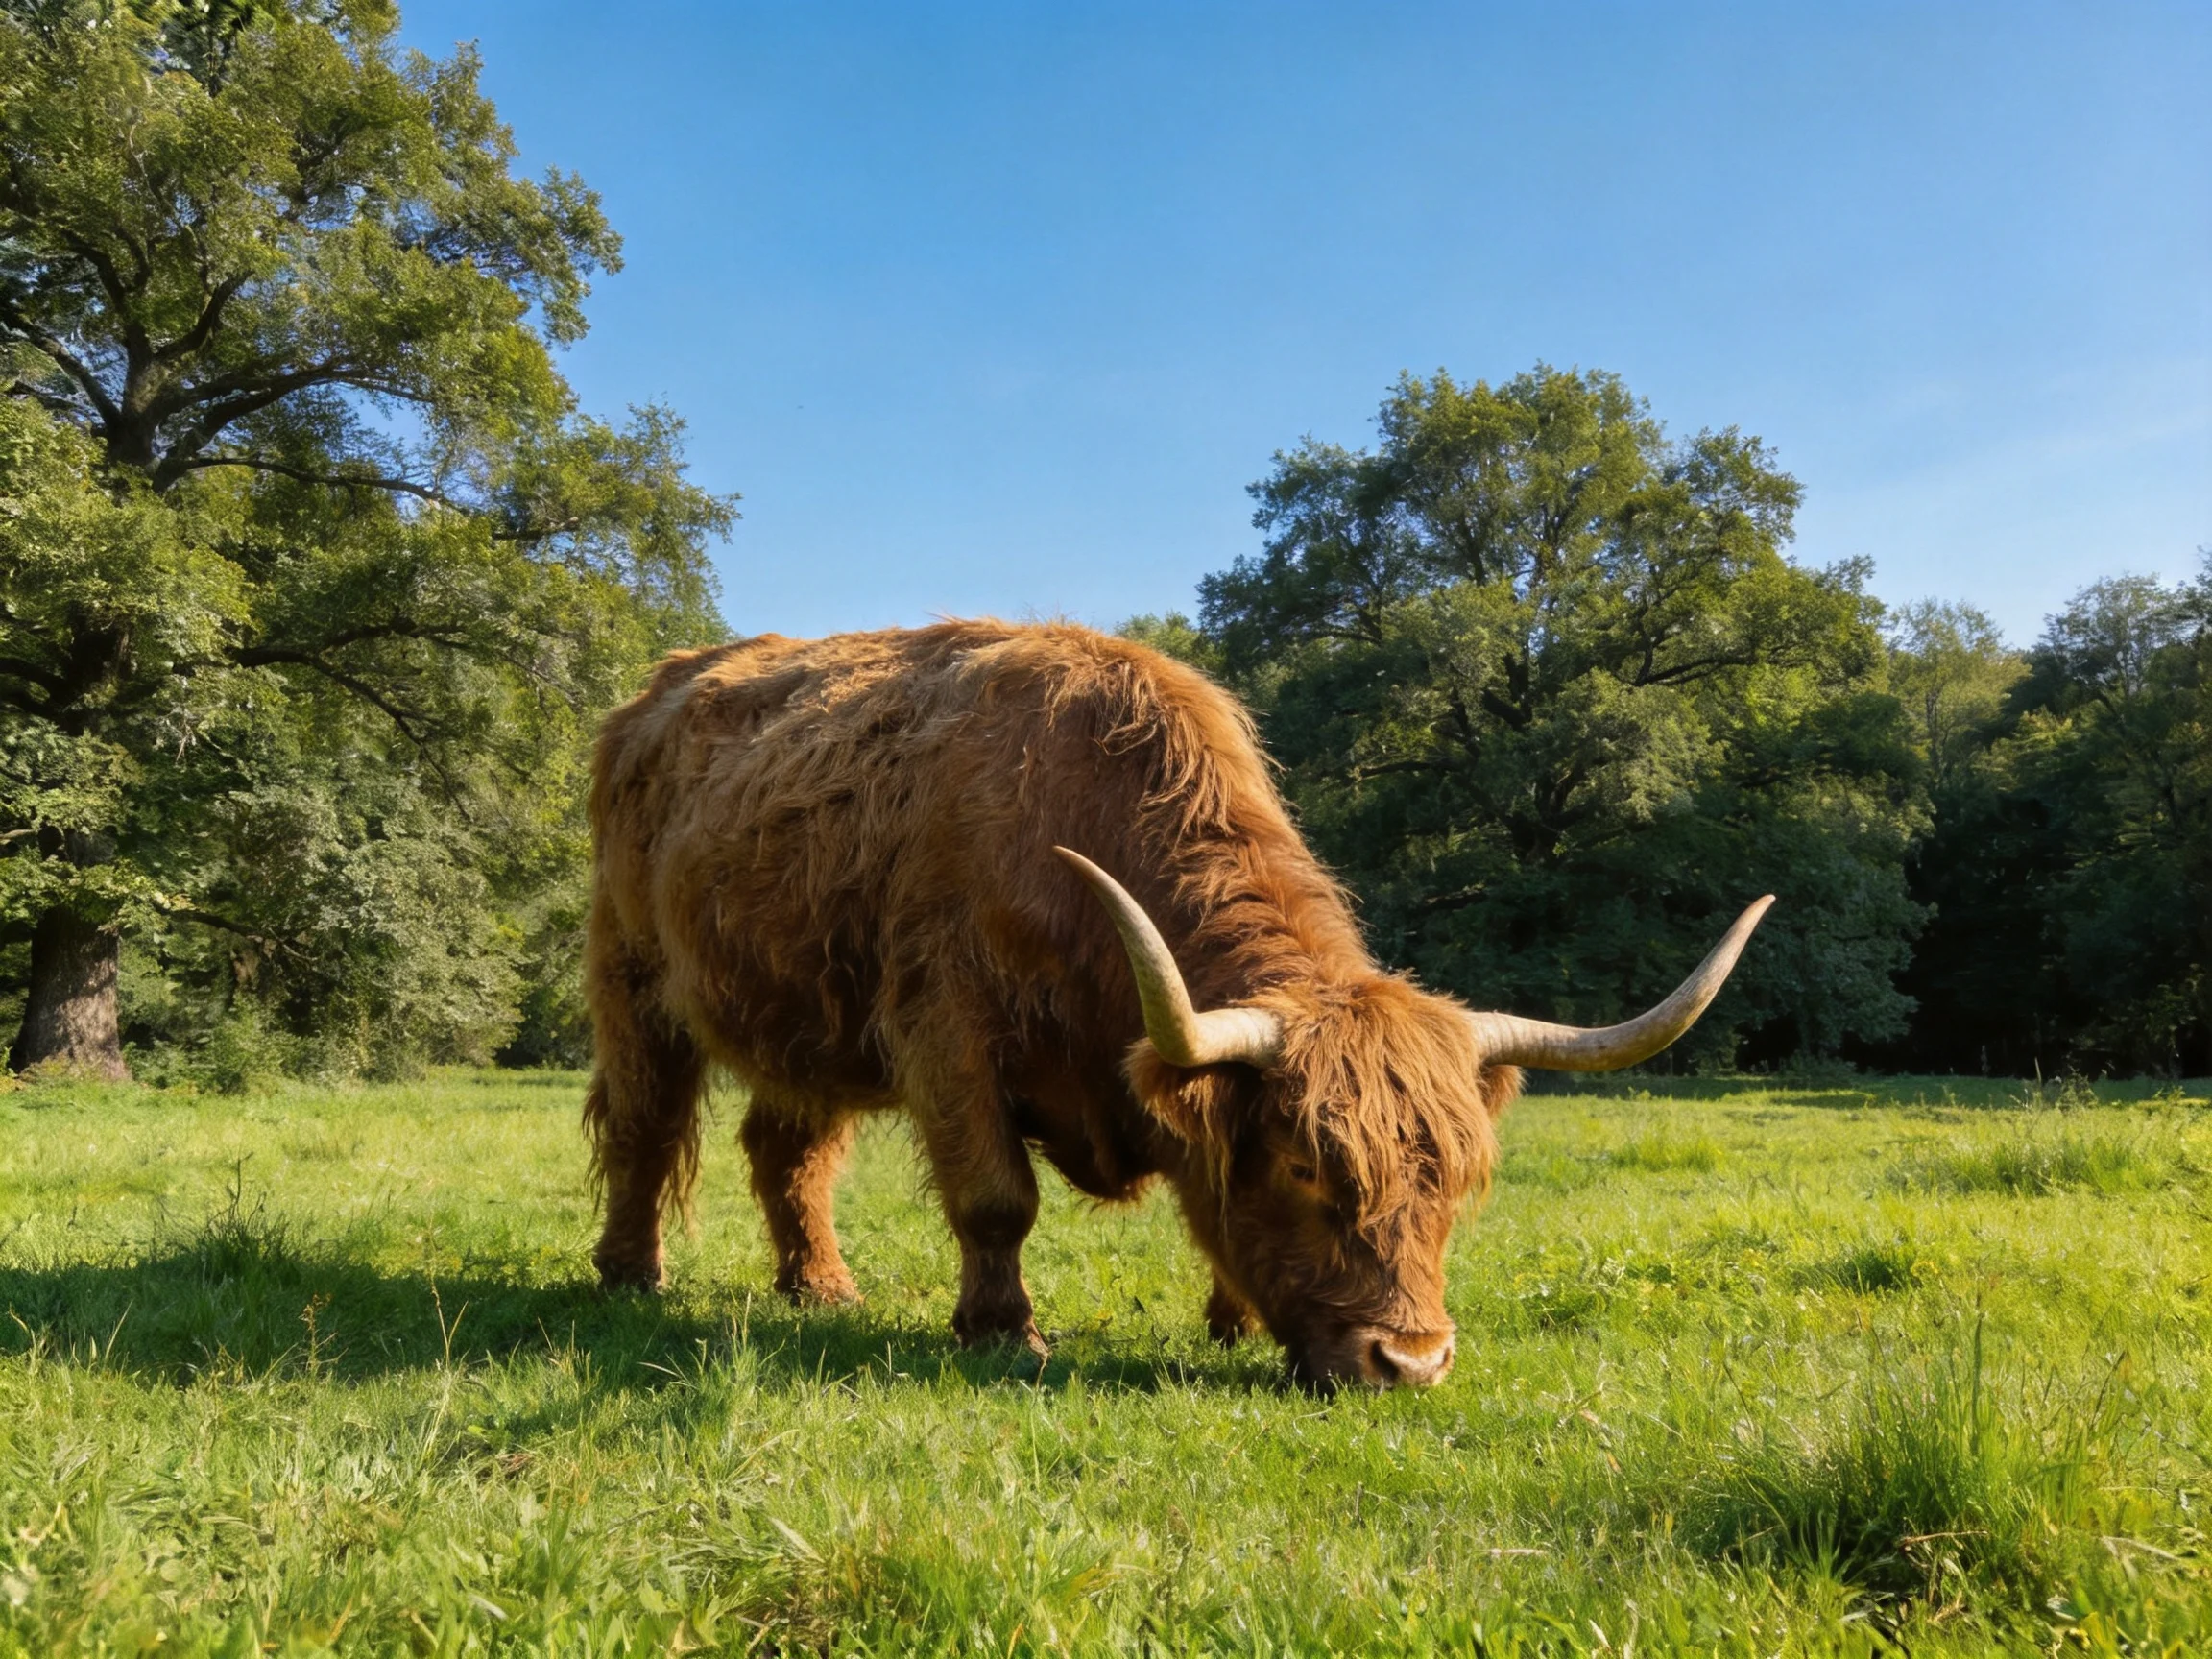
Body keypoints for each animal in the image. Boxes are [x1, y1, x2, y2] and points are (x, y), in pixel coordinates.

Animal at [583, 621, 1770, 1389]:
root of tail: (660, 688)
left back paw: (821, 1289)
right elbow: (996, 1199)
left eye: (1456, 1181)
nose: (1413, 1361)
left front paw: (1231, 1320)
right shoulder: (944, 1028)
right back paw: (630, 1275)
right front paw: (1004, 1334)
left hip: (807, 1015)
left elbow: (1206, 1202)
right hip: (635, 975)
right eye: (1308, 1167)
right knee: (645, 1126)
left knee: (787, 1148)